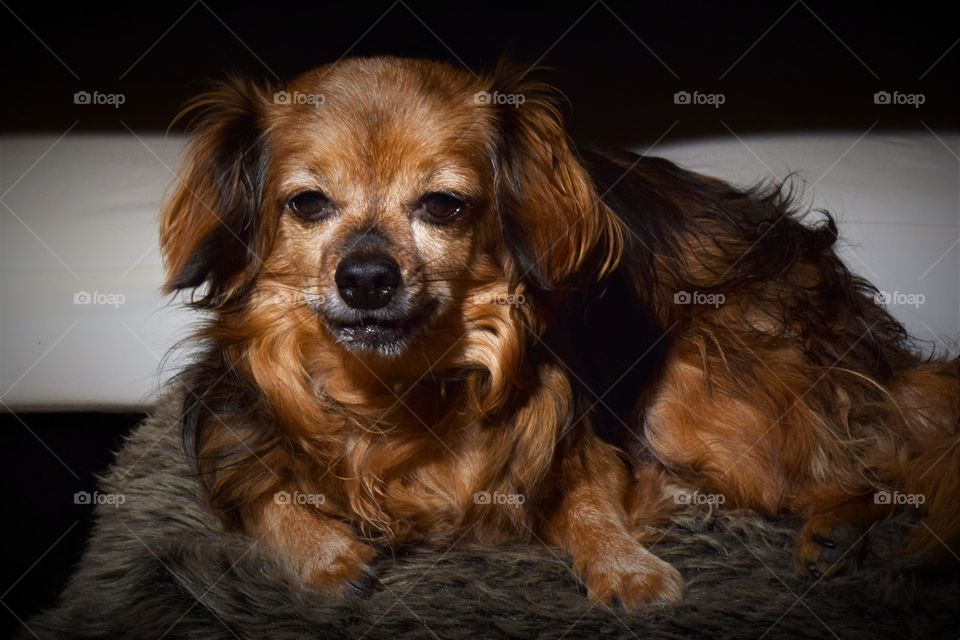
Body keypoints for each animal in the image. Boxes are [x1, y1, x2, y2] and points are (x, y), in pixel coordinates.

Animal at [159, 55, 960, 604]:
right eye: (308, 204)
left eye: (442, 205)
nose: (365, 279)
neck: (397, 389)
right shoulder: (234, 435)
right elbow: (267, 497)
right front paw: (326, 554)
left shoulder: (581, 447)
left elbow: (593, 506)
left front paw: (627, 568)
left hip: (697, 391)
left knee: (872, 460)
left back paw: (849, 532)